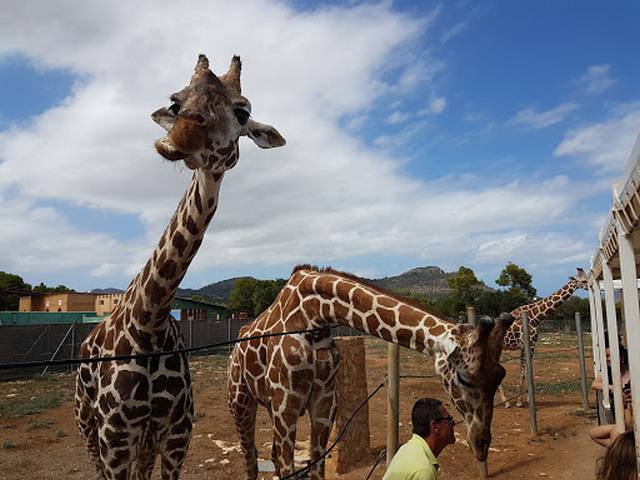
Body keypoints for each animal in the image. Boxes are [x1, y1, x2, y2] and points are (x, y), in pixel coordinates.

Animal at [75, 54, 284, 478]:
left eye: (242, 112)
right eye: (176, 101)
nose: (181, 135)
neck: (149, 323)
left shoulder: (176, 434)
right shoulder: (115, 439)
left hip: (144, 443)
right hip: (89, 428)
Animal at [228, 264, 512, 480]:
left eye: (500, 375)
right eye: (464, 378)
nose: (481, 444)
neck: (314, 318)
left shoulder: (323, 403)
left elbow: (316, 468)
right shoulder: (286, 403)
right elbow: (288, 469)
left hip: (268, 405)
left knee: (272, 455)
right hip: (241, 401)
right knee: (251, 456)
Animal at [498, 268, 588, 406]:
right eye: (584, 281)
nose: (591, 285)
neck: (536, 316)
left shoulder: (527, 345)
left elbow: (525, 370)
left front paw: (523, 400)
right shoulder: (529, 343)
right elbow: (526, 370)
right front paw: (522, 401)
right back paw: (505, 402)